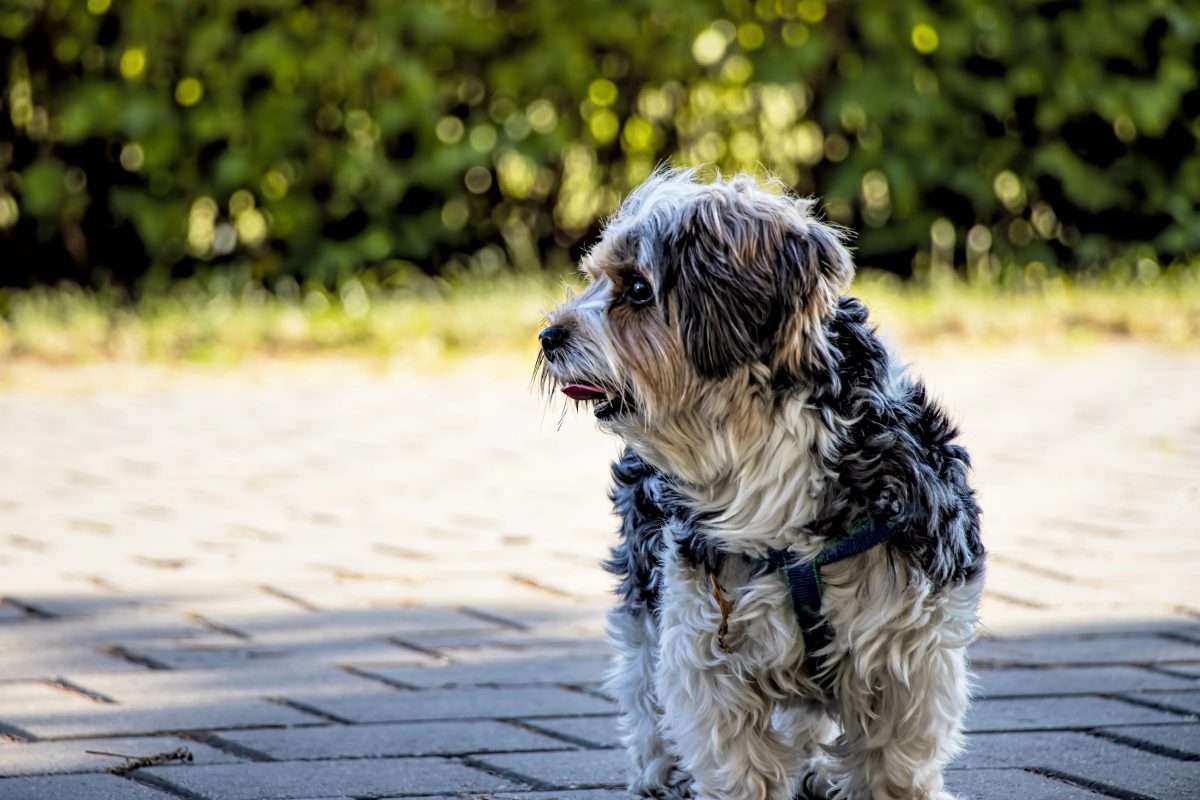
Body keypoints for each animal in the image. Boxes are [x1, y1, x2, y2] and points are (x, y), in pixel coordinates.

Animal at [537, 170, 984, 800]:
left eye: (639, 289)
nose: (547, 335)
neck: (761, 450)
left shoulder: (908, 648)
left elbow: (895, 763)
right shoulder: (706, 645)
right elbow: (736, 760)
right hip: (646, 588)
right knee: (642, 682)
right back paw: (660, 772)